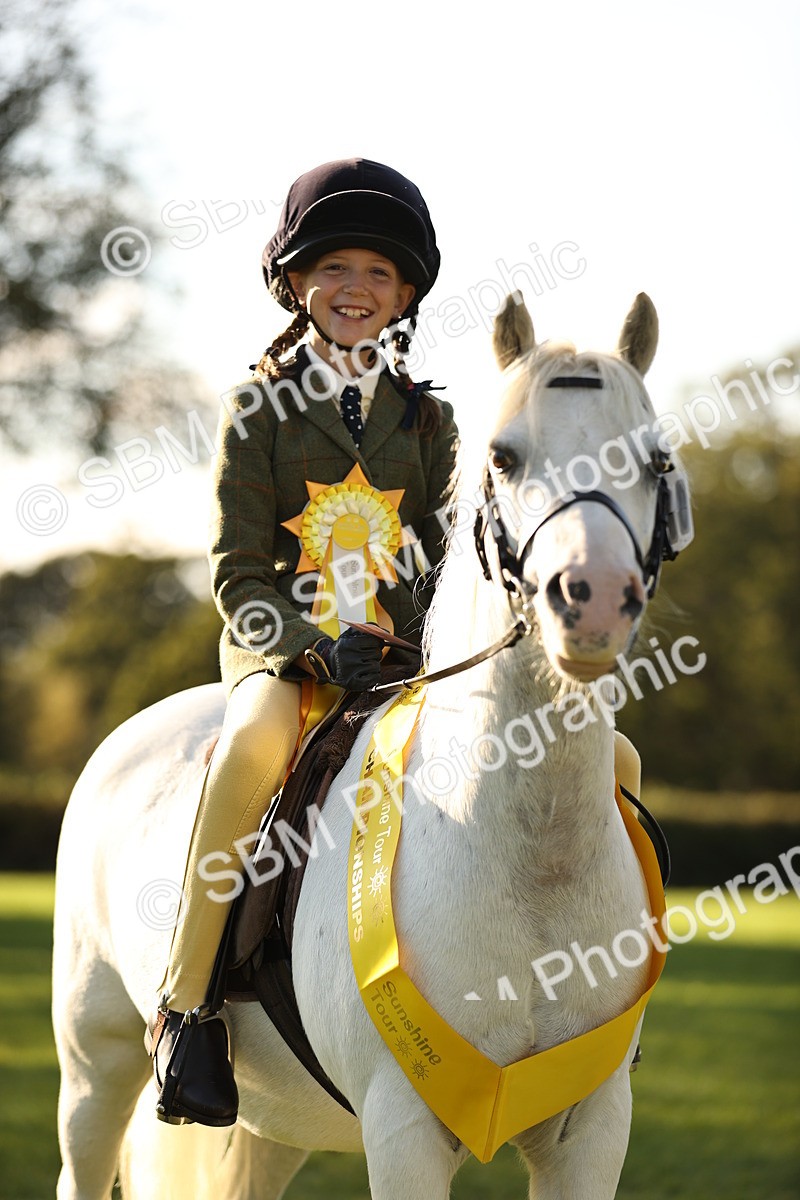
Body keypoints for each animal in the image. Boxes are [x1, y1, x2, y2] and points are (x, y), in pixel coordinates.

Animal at [52, 290, 690, 1200]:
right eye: (503, 457)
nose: (593, 599)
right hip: (95, 1062)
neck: (531, 855)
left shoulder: (591, 1131)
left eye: (654, 457)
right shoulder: (403, 1130)